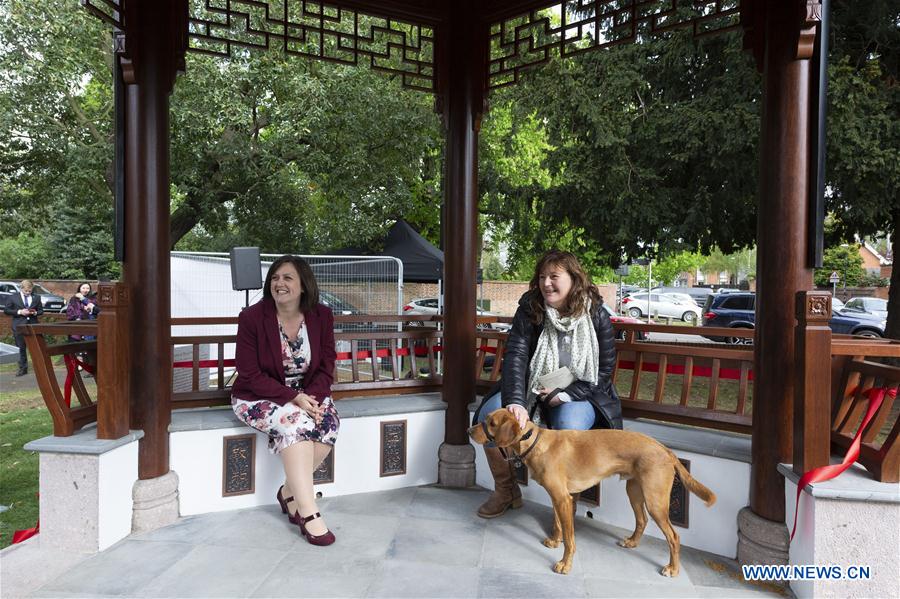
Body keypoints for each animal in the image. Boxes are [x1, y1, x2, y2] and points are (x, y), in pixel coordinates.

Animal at [472, 408, 716, 576]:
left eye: (491, 423)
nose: (468, 430)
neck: (535, 442)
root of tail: (666, 450)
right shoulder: (559, 498)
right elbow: (558, 524)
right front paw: (555, 541)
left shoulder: (562, 499)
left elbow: (570, 539)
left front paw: (565, 564)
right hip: (634, 491)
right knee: (642, 520)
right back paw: (632, 542)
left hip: (655, 501)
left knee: (674, 536)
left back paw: (673, 569)